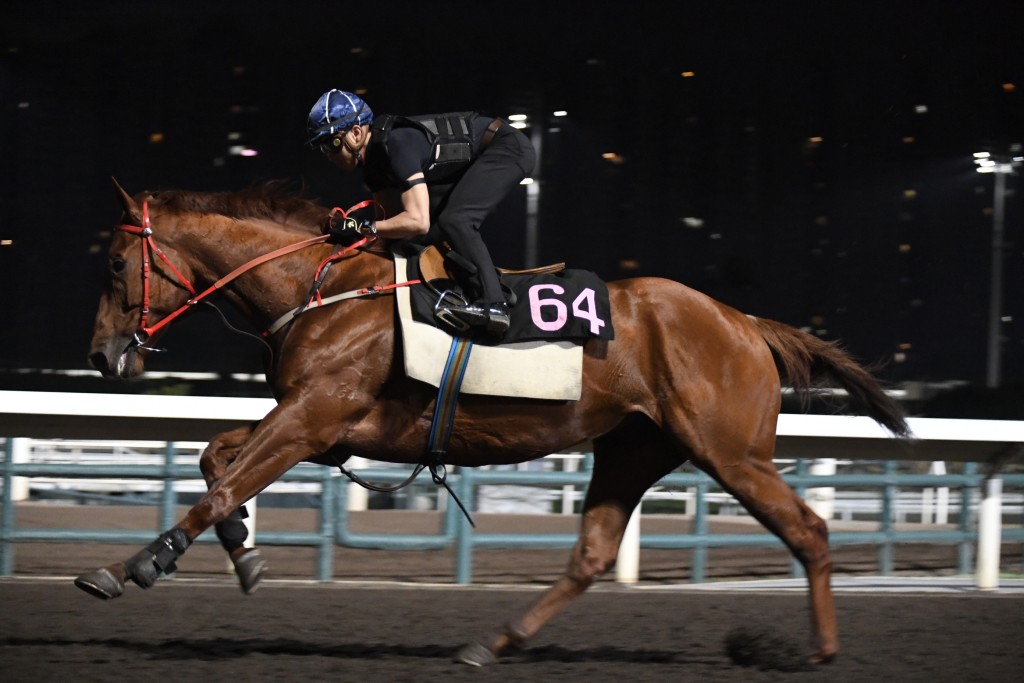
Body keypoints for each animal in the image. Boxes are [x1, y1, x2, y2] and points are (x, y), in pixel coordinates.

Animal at [81, 180, 913, 667]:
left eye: (116, 265)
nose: (102, 355)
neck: (320, 289)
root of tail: (744, 322)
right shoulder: (322, 424)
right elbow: (214, 460)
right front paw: (243, 555)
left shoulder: (315, 416)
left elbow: (220, 485)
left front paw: (130, 568)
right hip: (634, 448)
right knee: (591, 554)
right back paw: (492, 642)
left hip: (730, 450)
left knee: (809, 529)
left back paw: (819, 652)